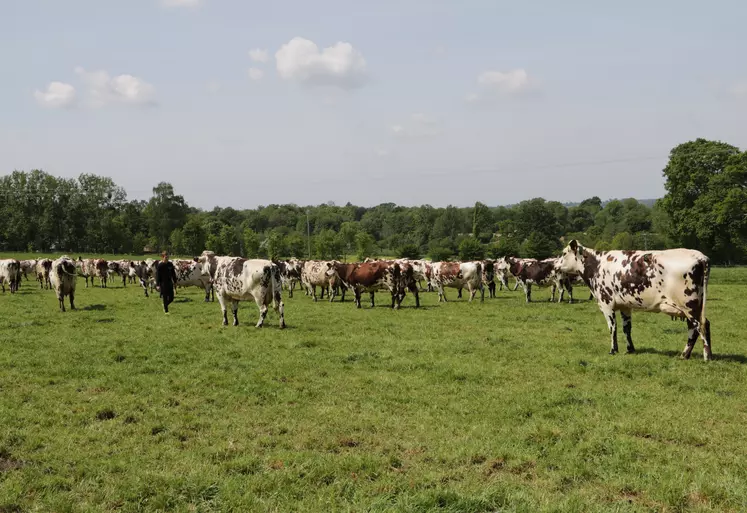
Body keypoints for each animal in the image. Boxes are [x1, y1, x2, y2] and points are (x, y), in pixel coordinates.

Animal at [560, 240, 712, 360]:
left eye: (563, 253)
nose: (556, 264)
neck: (597, 265)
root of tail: (700, 256)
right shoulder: (625, 306)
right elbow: (626, 328)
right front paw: (630, 349)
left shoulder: (606, 303)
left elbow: (612, 327)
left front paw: (613, 350)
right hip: (693, 306)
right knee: (699, 326)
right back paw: (687, 355)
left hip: (689, 305)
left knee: (699, 326)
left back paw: (704, 356)